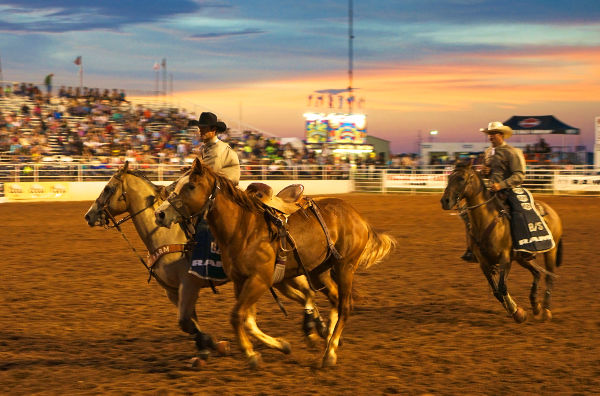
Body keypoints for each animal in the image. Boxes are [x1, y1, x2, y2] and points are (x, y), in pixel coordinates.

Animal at [83, 162, 328, 362]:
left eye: (108, 188)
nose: (88, 215)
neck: (169, 235)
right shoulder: (173, 291)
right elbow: (190, 322)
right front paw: (206, 348)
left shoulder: (189, 284)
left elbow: (186, 321)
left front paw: (214, 344)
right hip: (279, 279)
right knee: (305, 296)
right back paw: (318, 329)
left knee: (308, 293)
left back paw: (315, 329)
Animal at [155, 158, 394, 368]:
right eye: (176, 184)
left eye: (191, 186)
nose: (160, 214)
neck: (245, 228)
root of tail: (357, 217)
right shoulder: (241, 281)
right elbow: (247, 319)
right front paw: (277, 346)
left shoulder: (259, 280)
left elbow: (237, 316)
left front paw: (250, 354)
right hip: (319, 271)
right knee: (334, 299)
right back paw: (326, 340)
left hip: (345, 267)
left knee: (345, 306)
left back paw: (330, 353)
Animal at [440, 162, 564, 324]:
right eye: (449, 177)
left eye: (461, 178)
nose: (445, 201)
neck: (487, 220)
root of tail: (552, 212)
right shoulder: (484, 263)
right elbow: (496, 291)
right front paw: (517, 311)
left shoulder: (504, 258)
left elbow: (502, 287)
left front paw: (517, 312)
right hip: (522, 257)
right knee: (537, 273)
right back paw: (536, 307)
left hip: (550, 252)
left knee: (549, 277)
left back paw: (546, 311)